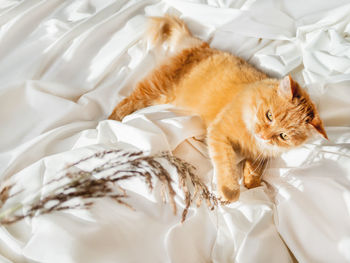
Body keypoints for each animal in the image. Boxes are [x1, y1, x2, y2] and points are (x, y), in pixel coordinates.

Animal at [109, 15, 328, 203]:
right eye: (269, 116)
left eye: (283, 136)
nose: (263, 135)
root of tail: (200, 45)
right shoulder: (220, 132)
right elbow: (227, 166)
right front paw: (230, 192)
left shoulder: (259, 154)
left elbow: (255, 169)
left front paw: (252, 183)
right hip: (157, 88)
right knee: (126, 102)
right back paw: (111, 122)